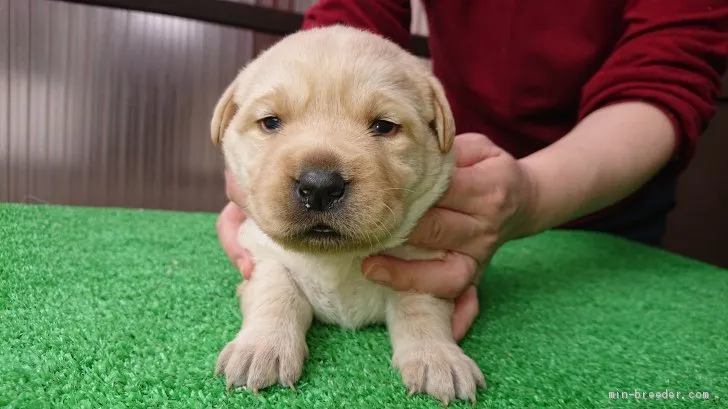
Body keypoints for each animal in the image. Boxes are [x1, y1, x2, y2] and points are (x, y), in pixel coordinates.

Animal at [209, 24, 484, 402]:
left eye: (384, 126)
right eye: (271, 122)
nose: (320, 186)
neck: (337, 258)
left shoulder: (426, 265)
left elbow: (420, 306)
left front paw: (438, 358)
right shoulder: (260, 251)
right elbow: (275, 290)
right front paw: (261, 347)